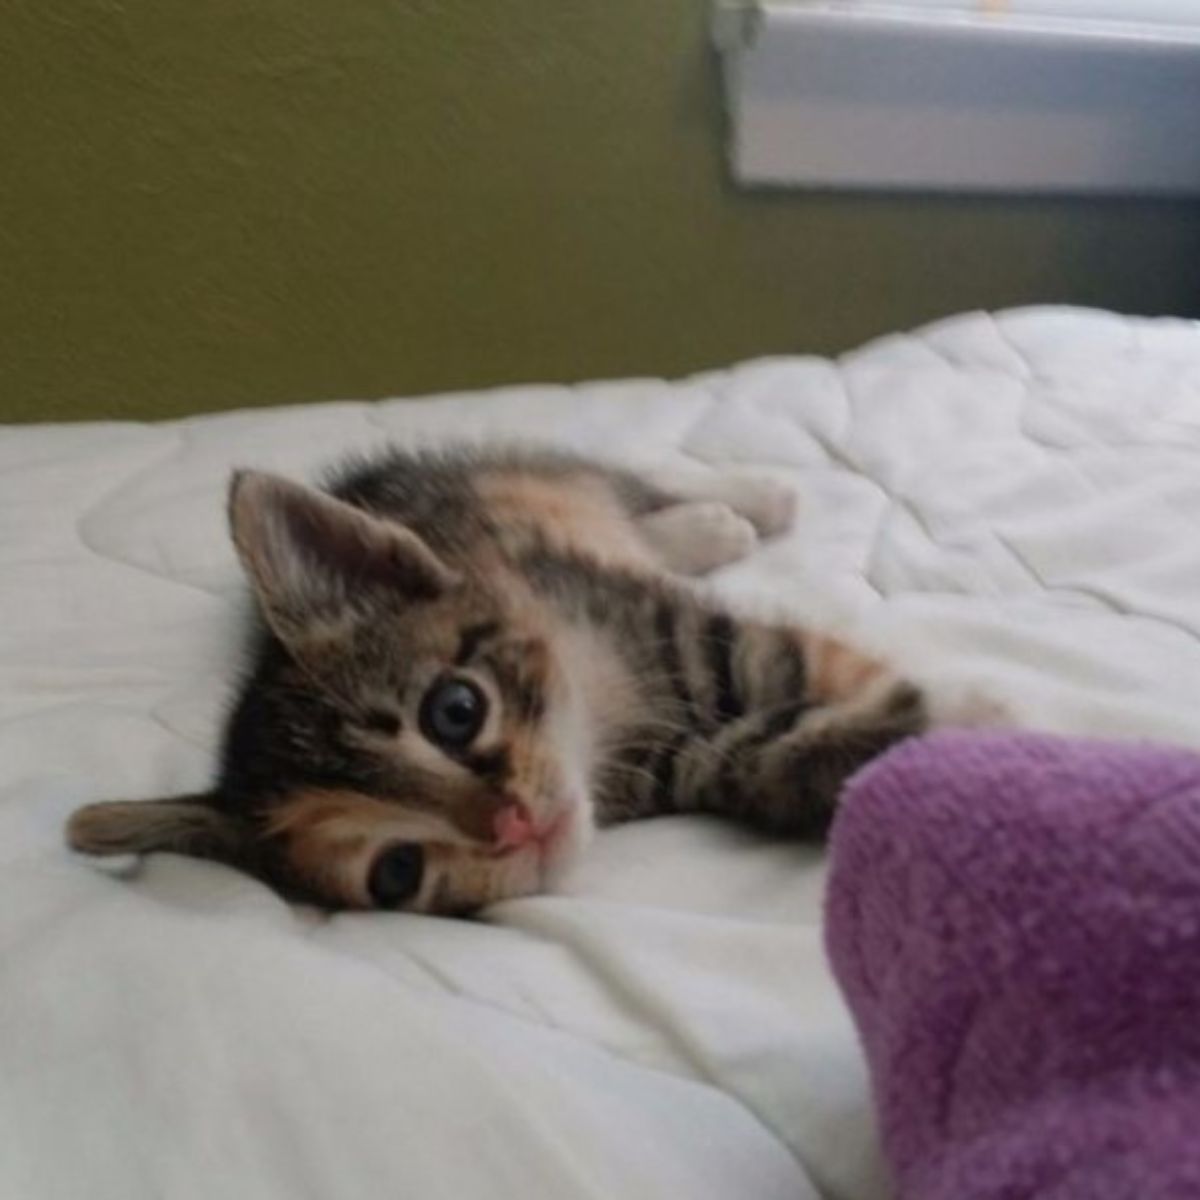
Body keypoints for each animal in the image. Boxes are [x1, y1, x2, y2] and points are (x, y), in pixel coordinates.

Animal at [70, 446, 936, 912]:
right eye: (397, 871)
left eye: (455, 711)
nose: (515, 825)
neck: (603, 718)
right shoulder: (696, 755)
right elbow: (793, 755)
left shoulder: (659, 622)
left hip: (518, 479)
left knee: (616, 477)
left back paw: (740, 506)